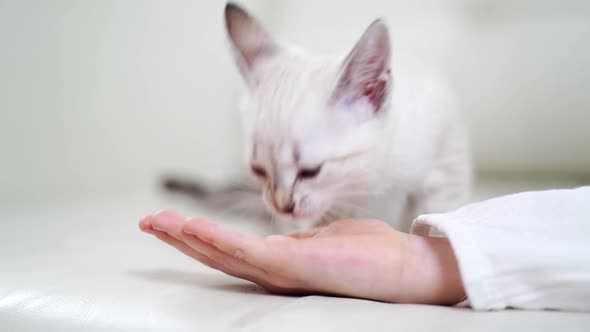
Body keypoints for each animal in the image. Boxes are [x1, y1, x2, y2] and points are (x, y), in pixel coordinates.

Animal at [165, 3, 472, 235]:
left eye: (311, 171)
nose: (281, 206)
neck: (370, 179)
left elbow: (433, 220)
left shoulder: (445, 168)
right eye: (258, 170)